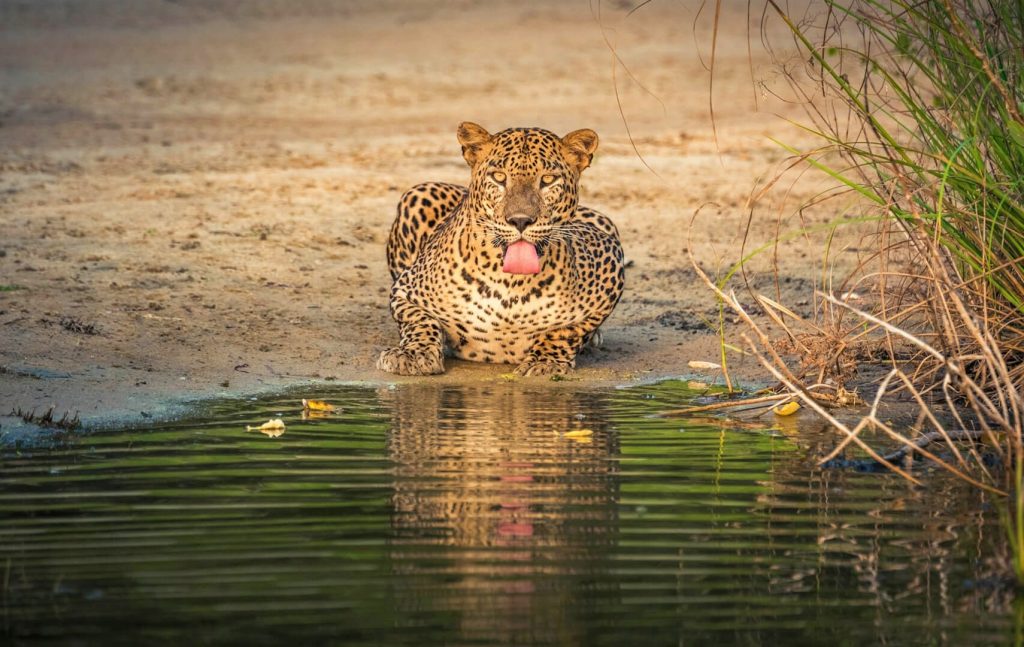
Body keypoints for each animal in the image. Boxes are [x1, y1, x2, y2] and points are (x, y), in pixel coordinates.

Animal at [377, 122, 625, 377]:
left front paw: (544, 362)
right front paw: (413, 354)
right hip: (418, 193)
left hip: (604, 221)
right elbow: (420, 320)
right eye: (499, 177)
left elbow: (567, 331)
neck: (510, 284)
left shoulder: (610, 259)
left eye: (547, 180)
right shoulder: (406, 290)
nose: (520, 220)